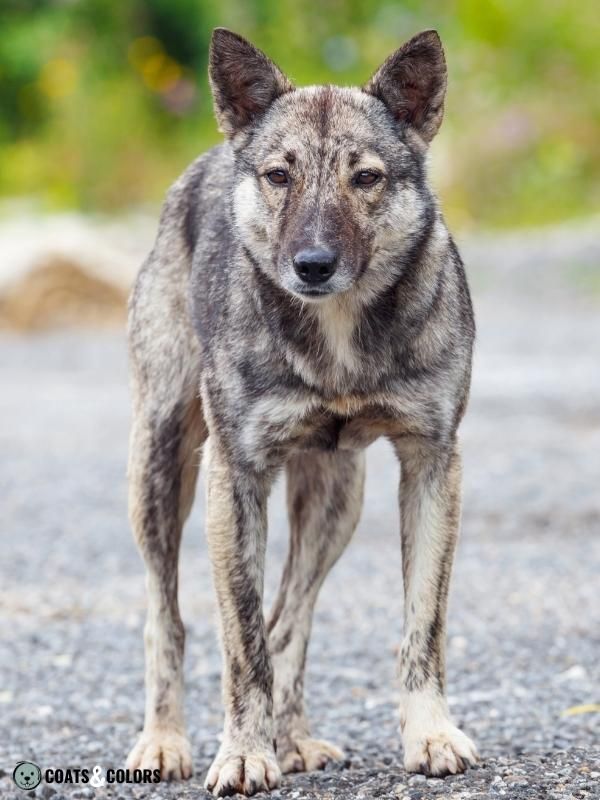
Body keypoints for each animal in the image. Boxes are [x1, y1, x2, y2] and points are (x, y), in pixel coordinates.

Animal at [125, 28, 478, 796]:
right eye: (279, 176)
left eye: (366, 178)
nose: (313, 264)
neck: (337, 332)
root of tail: (209, 159)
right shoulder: (235, 479)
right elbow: (241, 643)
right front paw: (242, 753)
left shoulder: (431, 465)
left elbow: (423, 624)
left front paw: (430, 734)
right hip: (159, 468)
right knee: (168, 620)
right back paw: (164, 741)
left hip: (336, 502)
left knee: (289, 619)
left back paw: (293, 742)